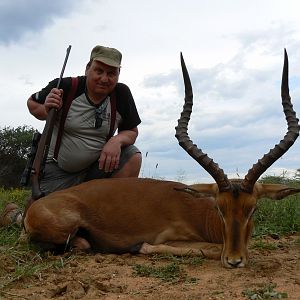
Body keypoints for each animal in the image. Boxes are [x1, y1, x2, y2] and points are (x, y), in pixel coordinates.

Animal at [24, 49, 300, 268]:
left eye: (253, 208)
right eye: (219, 208)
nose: (235, 260)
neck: (201, 213)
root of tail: (35, 206)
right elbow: (209, 249)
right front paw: (139, 247)